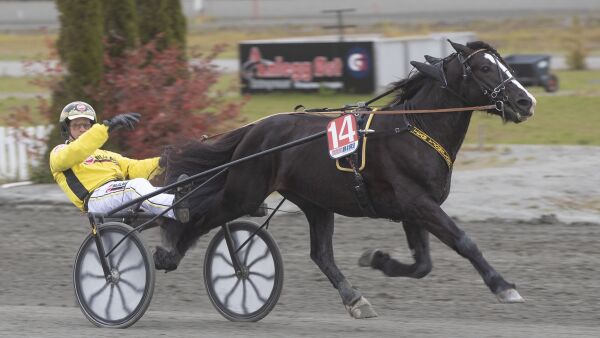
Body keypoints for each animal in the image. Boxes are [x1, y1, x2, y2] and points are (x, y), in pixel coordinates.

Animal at [157, 41, 536, 318]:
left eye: (505, 65)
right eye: (485, 68)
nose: (525, 100)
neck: (416, 129)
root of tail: (254, 129)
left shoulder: (414, 209)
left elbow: (422, 265)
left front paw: (377, 259)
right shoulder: (418, 202)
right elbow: (464, 242)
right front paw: (504, 286)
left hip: (315, 202)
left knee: (321, 254)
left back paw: (354, 298)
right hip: (245, 192)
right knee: (201, 216)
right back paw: (168, 253)